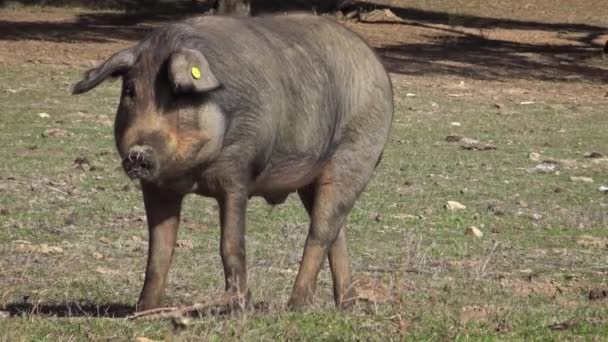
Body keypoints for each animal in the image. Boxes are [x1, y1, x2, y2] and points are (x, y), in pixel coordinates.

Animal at [72, 12, 394, 312]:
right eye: (130, 91)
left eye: (178, 96)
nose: (139, 153)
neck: (193, 175)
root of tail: (377, 64)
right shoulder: (157, 187)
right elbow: (159, 250)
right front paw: (144, 311)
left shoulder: (238, 172)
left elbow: (230, 243)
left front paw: (238, 308)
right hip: (311, 179)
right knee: (337, 232)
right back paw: (346, 305)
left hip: (355, 153)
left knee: (320, 230)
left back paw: (295, 306)